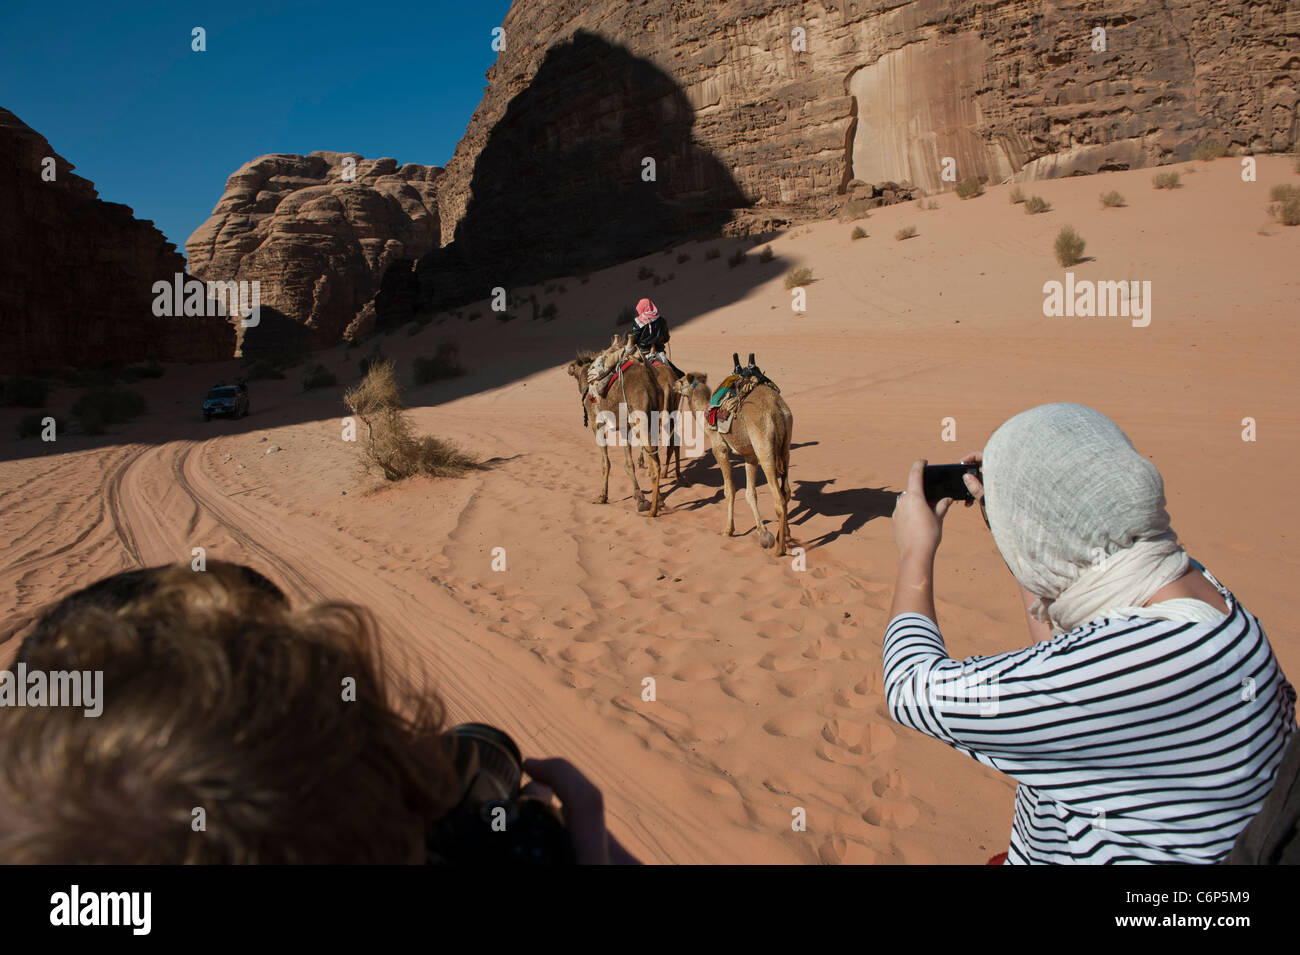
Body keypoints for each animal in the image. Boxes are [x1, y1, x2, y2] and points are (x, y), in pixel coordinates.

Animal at [566, 335, 665, 514]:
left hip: (642, 419)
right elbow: (628, 463)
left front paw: (602, 497)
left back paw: (654, 508)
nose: (569, 369)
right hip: (653, 418)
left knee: (654, 462)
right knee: (654, 457)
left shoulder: (596, 424)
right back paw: (657, 500)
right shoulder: (625, 427)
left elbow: (605, 463)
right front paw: (639, 497)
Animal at [681, 371, 790, 556]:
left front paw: (728, 530)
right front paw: (763, 533)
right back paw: (787, 536)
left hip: (764, 446)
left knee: (779, 498)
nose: (674, 384)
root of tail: (777, 409)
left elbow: (729, 490)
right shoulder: (749, 454)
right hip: (786, 445)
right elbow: (750, 493)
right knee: (787, 491)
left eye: (681, 381)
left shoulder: (719, 447)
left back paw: (779, 550)